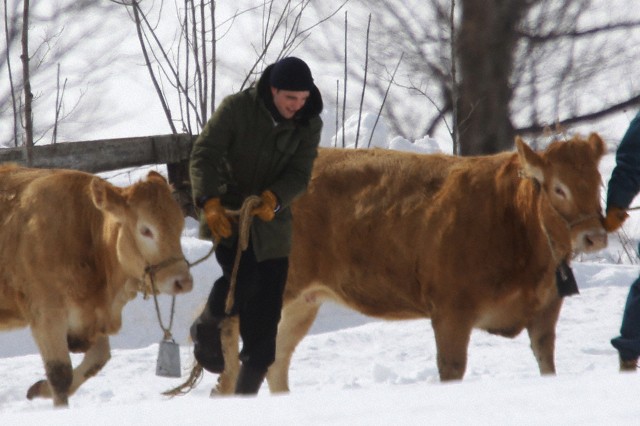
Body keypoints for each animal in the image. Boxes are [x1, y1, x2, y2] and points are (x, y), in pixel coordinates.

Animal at [0, 165, 193, 407]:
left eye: (180, 225)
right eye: (146, 230)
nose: (183, 281)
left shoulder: (94, 315)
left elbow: (98, 359)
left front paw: (39, 389)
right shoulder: (46, 315)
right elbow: (60, 375)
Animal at [205, 133, 607, 395]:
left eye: (598, 182)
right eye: (558, 188)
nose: (595, 237)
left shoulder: (546, 312)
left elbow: (547, 365)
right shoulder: (451, 311)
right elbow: (451, 369)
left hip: (305, 299)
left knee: (276, 357)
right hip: (269, 282)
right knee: (228, 331)